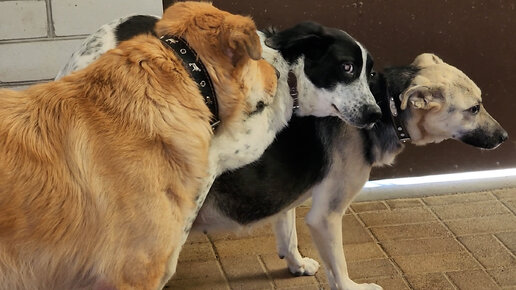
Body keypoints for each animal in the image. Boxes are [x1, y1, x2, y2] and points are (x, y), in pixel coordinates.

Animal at [195, 53, 508, 288]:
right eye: (474, 109)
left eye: (480, 103)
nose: (505, 137)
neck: (385, 104)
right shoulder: (326, 217)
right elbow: (339, 269)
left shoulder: (287, 191)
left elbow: (288, 234)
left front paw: (296, 264)